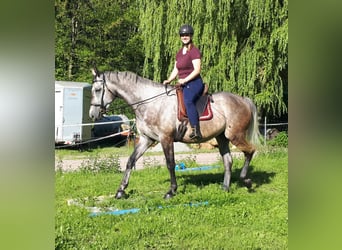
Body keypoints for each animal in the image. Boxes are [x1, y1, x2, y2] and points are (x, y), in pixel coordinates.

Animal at [89, 68, 262, 199]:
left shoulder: (166, 138)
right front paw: (121, 190)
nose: (92, 114)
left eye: (97, 90)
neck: (150, 103)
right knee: (228, 160)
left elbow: (170, 164)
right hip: (222, 138)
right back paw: (225, 187)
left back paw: (246, 181)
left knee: (250, 151)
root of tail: (243, 100)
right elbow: (130, 161)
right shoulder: (146, 139)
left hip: (235, 136)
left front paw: (171, 191)